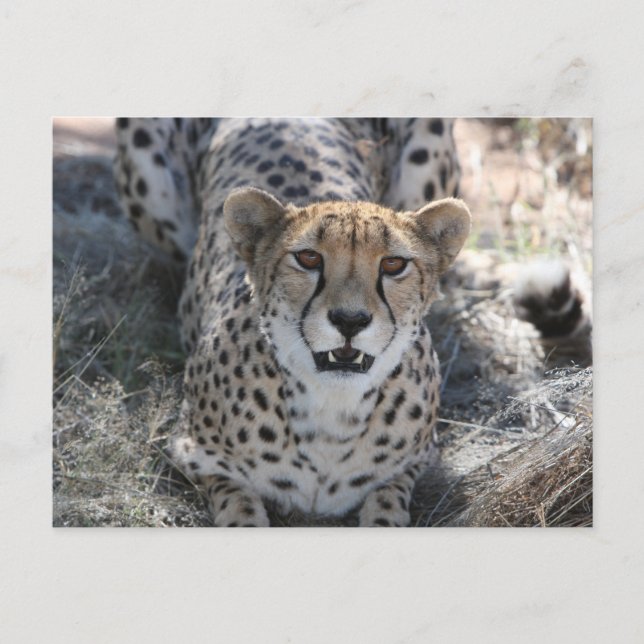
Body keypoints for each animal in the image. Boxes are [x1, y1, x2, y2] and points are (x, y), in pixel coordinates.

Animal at [113, 117, 471, 526]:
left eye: (394, 264)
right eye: (309, 259)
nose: (350, 320)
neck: (333, 408)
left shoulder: (417, 461)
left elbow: (387, 502)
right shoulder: (194, 453)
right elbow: (239, 506)